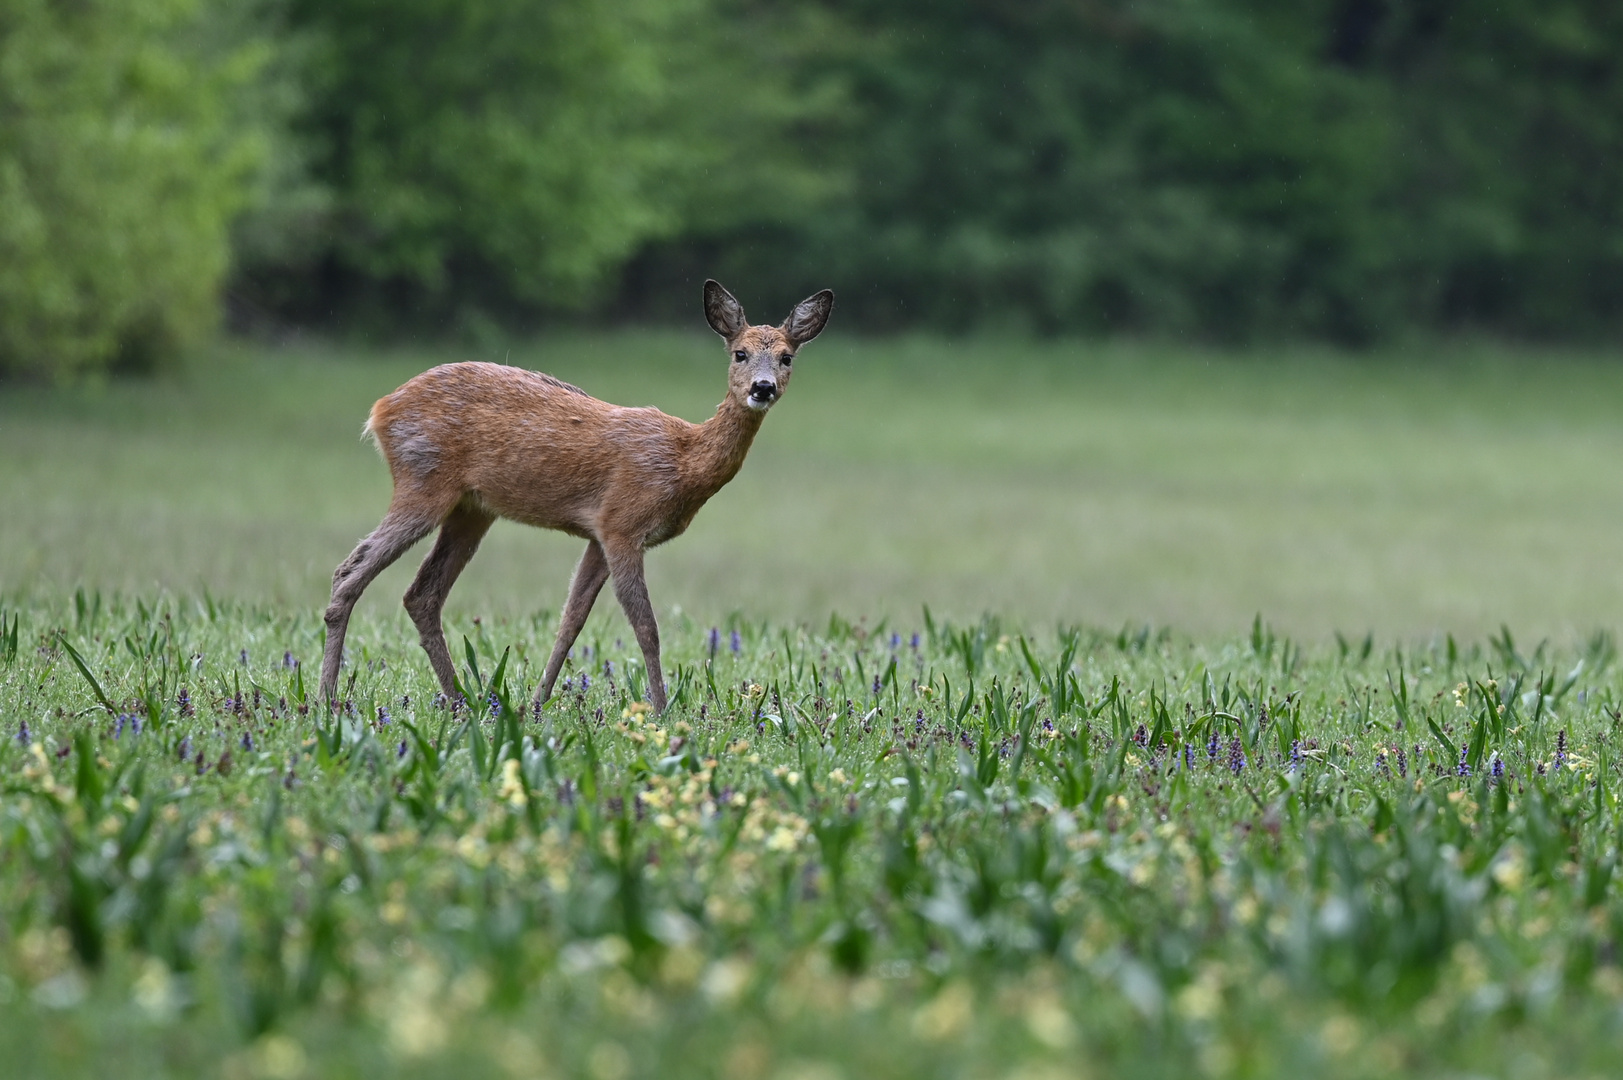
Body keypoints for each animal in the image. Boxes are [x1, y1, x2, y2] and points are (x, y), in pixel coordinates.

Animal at [314, 282, 830, 711]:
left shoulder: (597, 534)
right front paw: (663, 711)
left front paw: (538, 702)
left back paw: (461, 699)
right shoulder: (623, 522)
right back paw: (328, 697)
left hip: (471, 508)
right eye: (740, 353)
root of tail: (381, 409)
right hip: (423, 480)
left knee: (422, 593)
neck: (684, 463)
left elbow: (571, 621)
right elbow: (647, 628)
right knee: (350, 570)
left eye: (787, 357)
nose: (762, 388)